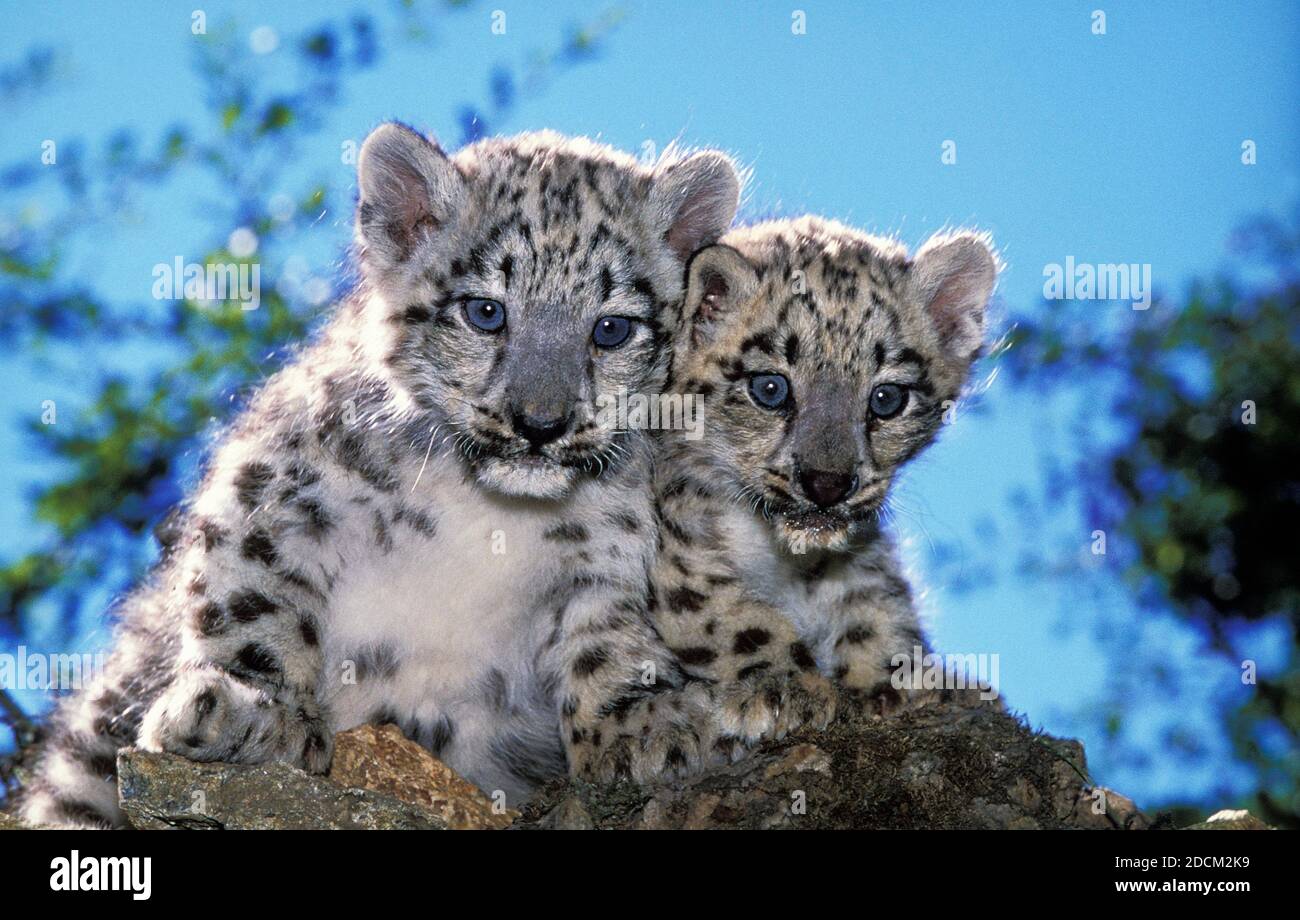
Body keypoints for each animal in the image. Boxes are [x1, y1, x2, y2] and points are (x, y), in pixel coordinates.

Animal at [19, 124, 742, 827]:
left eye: (612, 328)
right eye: (485, 311)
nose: (540, 423)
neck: (490, 510)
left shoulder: (610, 547)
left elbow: (607, 634)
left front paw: (644, 725)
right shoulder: (275, 492)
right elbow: (250, 600)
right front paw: (256, 711)